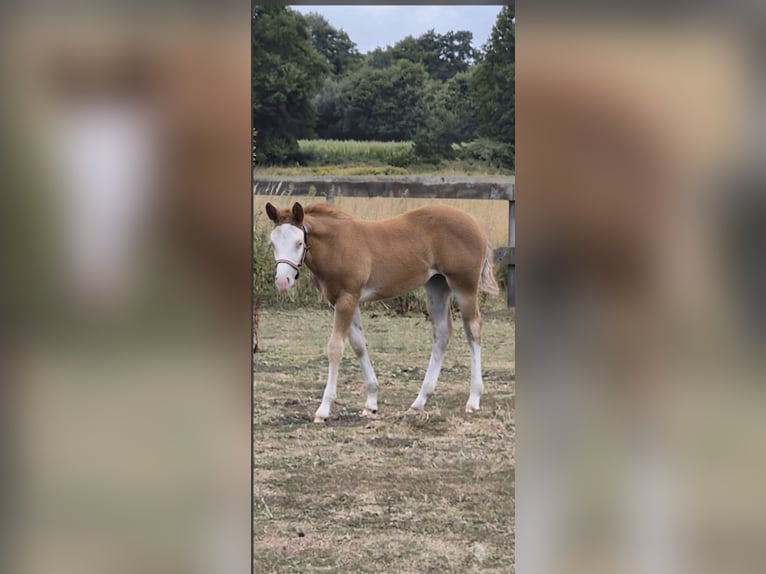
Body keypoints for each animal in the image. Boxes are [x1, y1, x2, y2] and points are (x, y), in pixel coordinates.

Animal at [265, 201, 500, 423]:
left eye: (299, 243)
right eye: (272, 243)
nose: (282, 282)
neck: (336, 244)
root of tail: (475, 222)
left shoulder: (347, 298)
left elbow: (335, 348)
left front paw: (323, 410)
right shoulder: (345, 301)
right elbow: (359, 346)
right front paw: (371, 403)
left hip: (464, 286)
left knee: (473, 329)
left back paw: (473, 399)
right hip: (436, 285)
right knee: (442, 333)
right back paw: (419, 401)